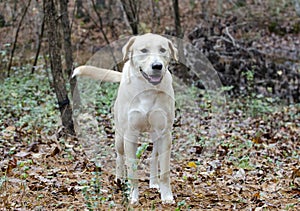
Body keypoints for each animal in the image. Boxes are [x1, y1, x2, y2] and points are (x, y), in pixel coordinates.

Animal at [72, 33, 177, 204]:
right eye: (143, 50)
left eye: (163, 50)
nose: (157, 66)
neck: (147, 89)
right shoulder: (130, 135)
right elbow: (132, 171)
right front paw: (133, 197)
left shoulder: (165, 134)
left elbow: (165, 171)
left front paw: (166, 196)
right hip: (120, 137)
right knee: (119, 157)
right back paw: (119, 180)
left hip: (156, 136)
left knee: (153, 158)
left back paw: (154, 183)